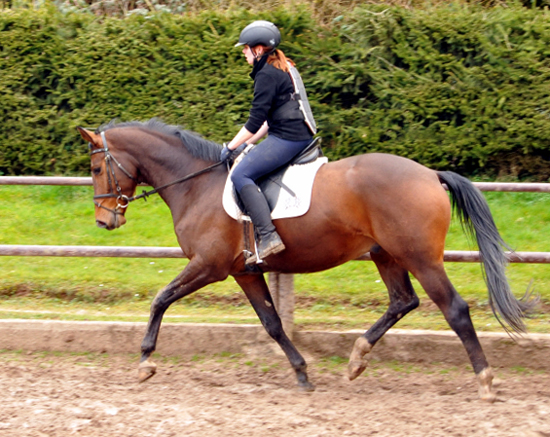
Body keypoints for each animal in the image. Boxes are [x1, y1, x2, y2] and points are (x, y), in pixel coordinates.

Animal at [77, 117, 536, 400]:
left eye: (97, 168)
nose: (104, 220)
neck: (196, 184)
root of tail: (429, 174)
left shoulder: (209, 266)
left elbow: (160, 299)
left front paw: (145, 362)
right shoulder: (244, 272)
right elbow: (272, 323)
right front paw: (302, 373)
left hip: (420, 258)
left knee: (454, 309)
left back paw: (485, 380)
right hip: (385, 255)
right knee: (403, 301)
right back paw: (357, 358)